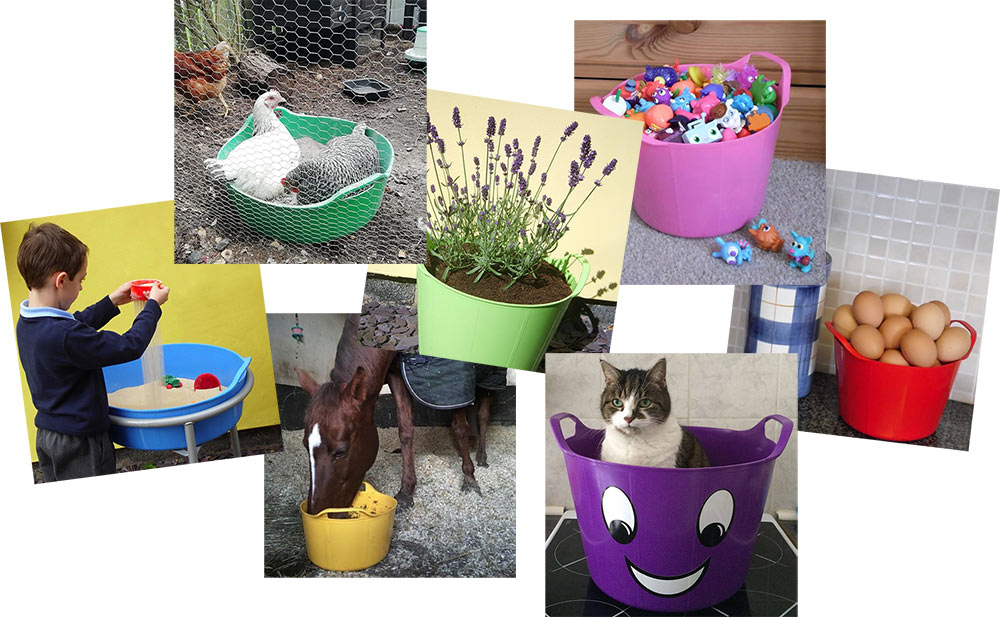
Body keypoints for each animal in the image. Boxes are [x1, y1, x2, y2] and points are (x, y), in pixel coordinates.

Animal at [292, 312, 488, 516]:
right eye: (305, 445)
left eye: (340, 452)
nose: (317, 512)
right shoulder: (397, 374)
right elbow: (406, 430)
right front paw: (406, 491)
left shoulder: (457, 378)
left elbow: (460, 428)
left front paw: (470, 479)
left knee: (483, 415)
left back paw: (481, 456)